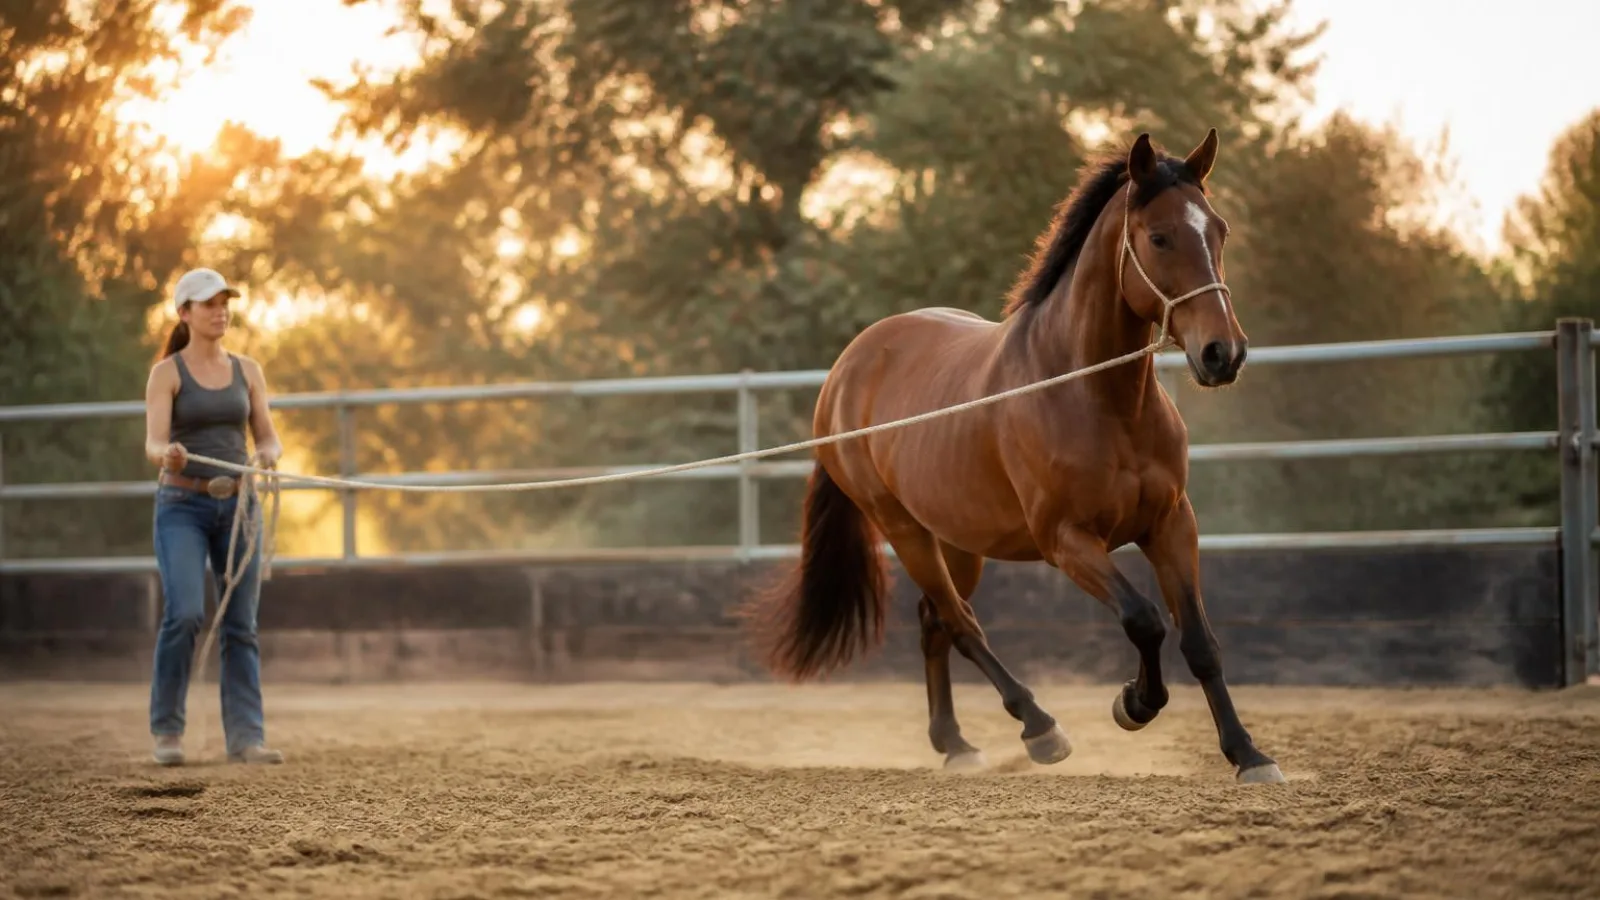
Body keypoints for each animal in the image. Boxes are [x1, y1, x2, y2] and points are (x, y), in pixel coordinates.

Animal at [742, 128, 1284, 784]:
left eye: (1219, 230)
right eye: (1158, 237)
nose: (1223, 353)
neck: (1096, 398)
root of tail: (846, 369)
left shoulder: (1171, 523)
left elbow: (1200, 642)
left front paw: (1249, 755)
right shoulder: (1066, 540)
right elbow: (1144, 620)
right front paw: (1133, 704)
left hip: (957, 538)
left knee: (934, 620)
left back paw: (956, 742)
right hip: (903, 530)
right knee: (959, 622)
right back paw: (1039, 728)